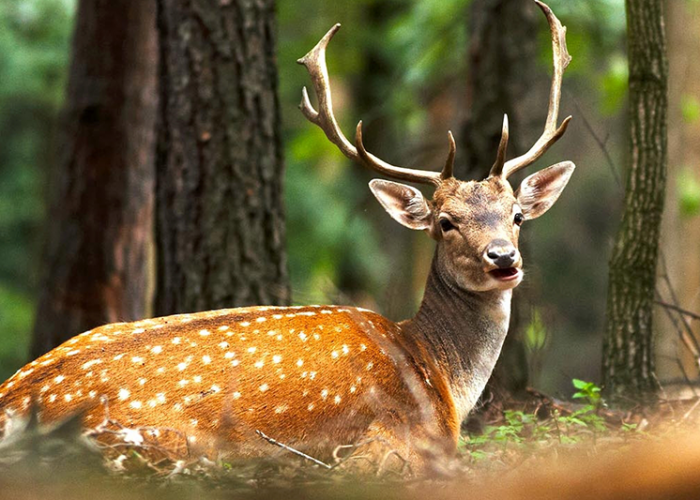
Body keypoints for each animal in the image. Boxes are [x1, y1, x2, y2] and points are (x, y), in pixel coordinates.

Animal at [0, 0, 576, 474]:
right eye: (445, 223)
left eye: (517, 215)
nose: (503, 258)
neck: (440, 378)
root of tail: (13, 400)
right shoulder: (395, 441)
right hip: (156, 442)